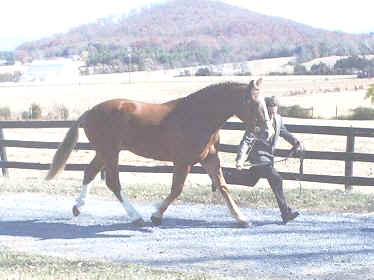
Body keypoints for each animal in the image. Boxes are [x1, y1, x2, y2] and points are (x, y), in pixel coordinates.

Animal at [46, 77, 274, 226]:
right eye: (251, 103)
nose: (267, 132)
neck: (197, 116)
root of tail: (89, 112)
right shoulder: (183, 162)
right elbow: (176, 190)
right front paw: (156, 216)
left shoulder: (210, 159)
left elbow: (223, 186)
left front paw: (241, 218)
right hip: (110, 153)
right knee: (113, 182)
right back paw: (136, 217)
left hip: (104, 152)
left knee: (90, 172)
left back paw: (78, 208)